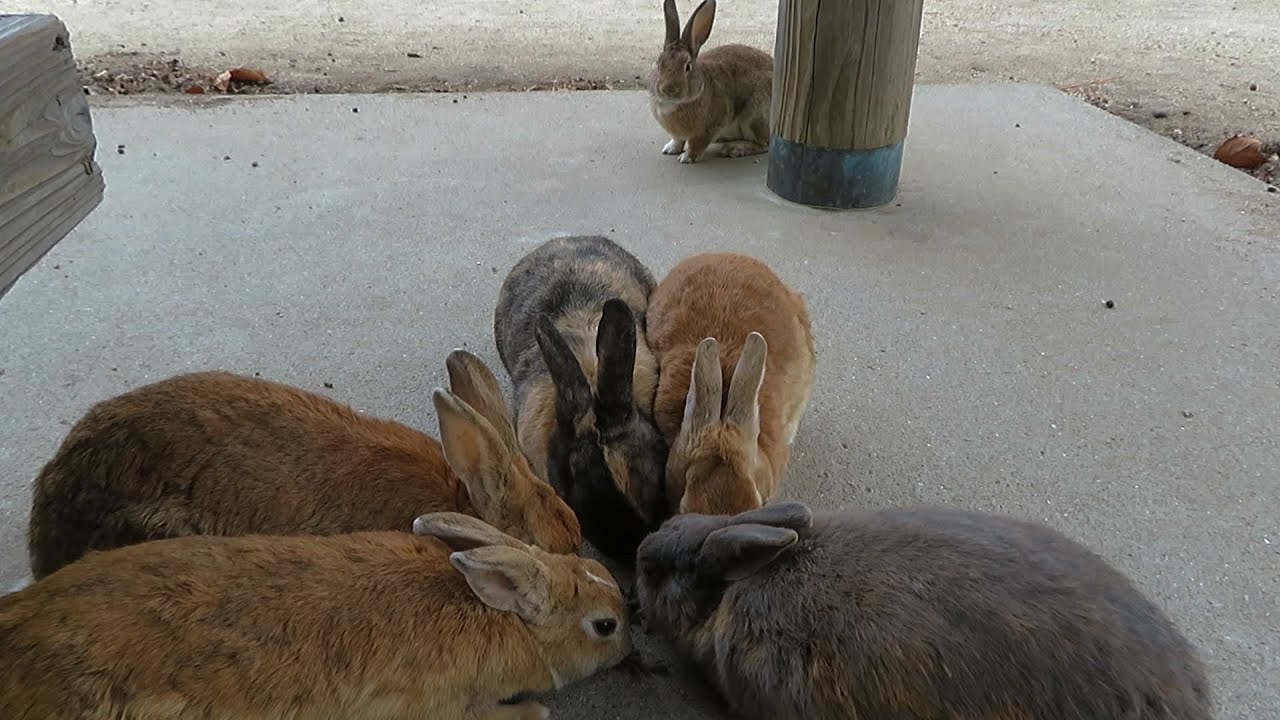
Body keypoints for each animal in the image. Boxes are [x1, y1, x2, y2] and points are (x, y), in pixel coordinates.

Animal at [649, 0, 773, 163]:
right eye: (658, 63)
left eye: (687, 66)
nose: (668, 89)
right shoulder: (678, 134)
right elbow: (678, 140)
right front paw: (670, 149)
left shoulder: (710, 127)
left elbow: (697, 144)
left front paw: (687, 157)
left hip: (754, 116)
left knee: (764, 143)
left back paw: (734, 149)